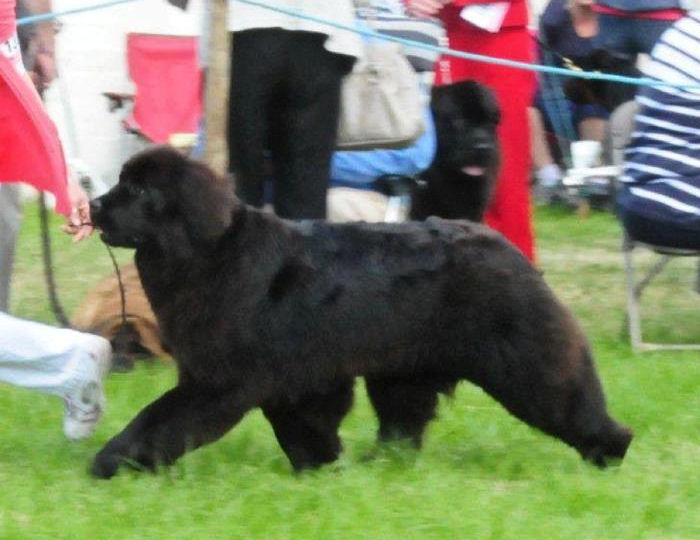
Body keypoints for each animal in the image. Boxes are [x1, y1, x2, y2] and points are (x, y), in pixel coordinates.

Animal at [89, 147, 636, 476]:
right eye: (119, 182)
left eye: (138, 191)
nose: (93, 206)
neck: (209, 253)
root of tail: (509, 250)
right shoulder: (296, 377)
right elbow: (303, 425)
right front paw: (322, 468)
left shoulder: (219, 380)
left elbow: (161, 419)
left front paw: (113, 461)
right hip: (403, 373)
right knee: (404, 423)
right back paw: (383, 465)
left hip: (524, 360)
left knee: (566, 398)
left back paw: (608, 451)